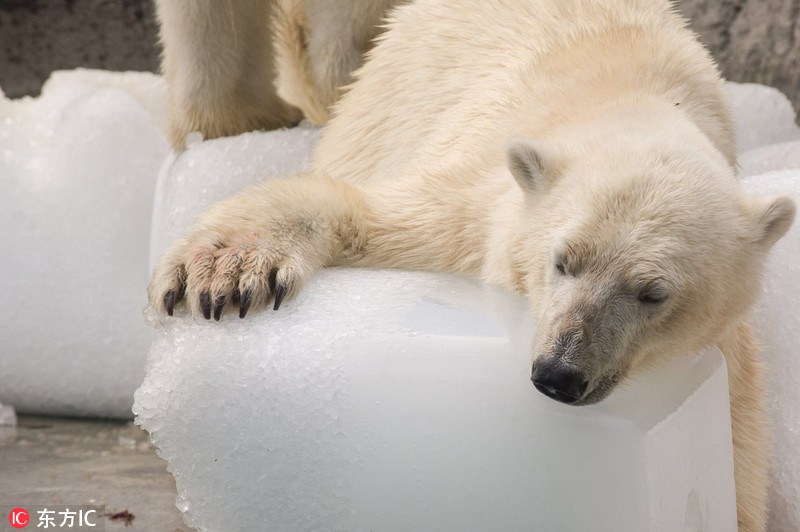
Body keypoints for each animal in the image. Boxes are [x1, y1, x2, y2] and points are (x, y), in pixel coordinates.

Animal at [148, 2, 792, 528]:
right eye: (563, 261)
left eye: (653, 293)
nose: (559, 374)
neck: (626, 96)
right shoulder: (471, 209)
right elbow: (365, 213)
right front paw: (226, 272)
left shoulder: (718, 338)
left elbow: (734, 427)